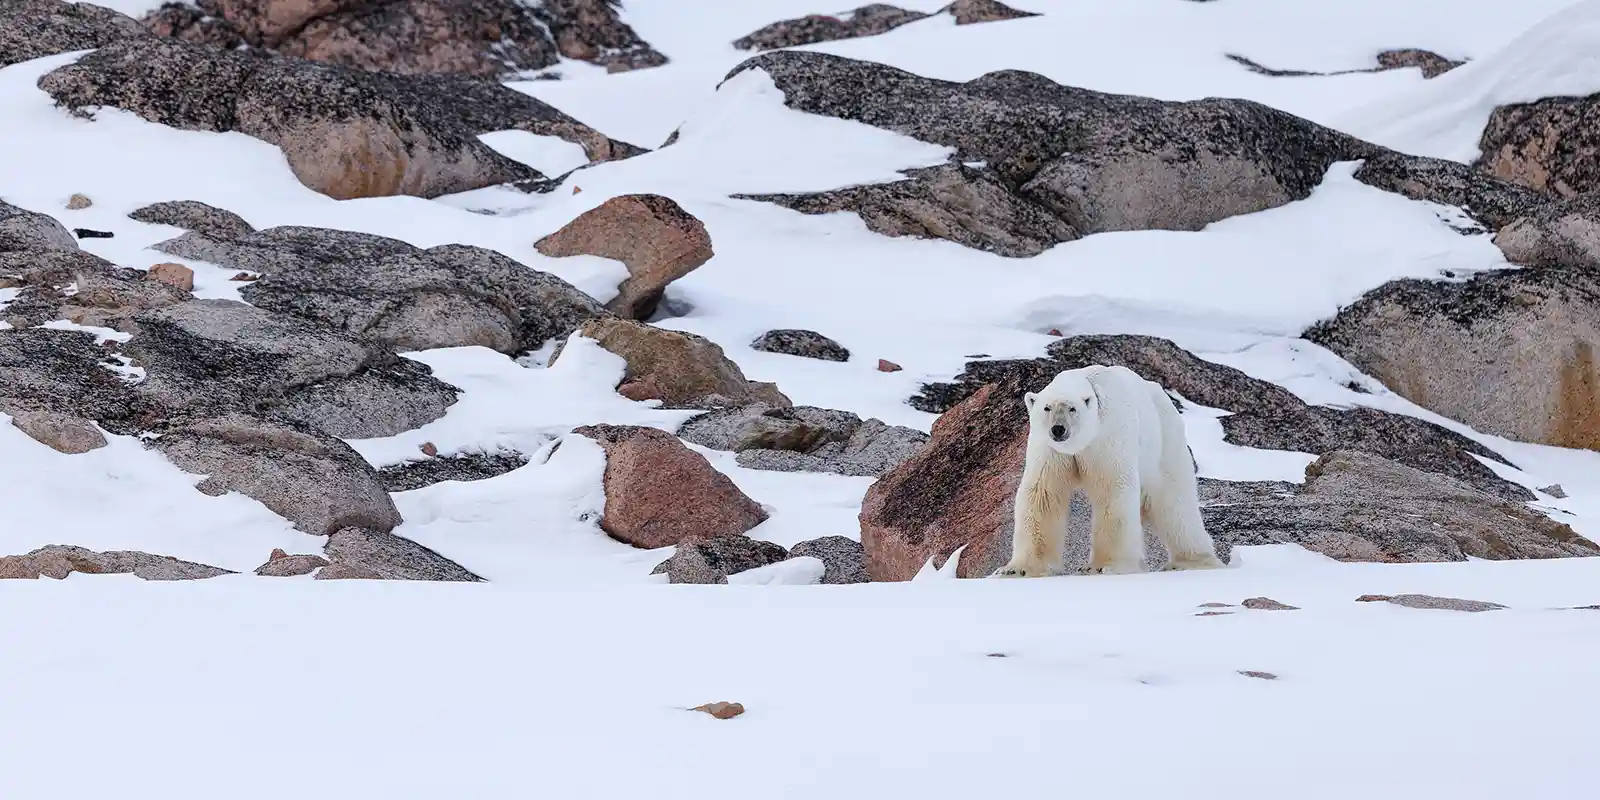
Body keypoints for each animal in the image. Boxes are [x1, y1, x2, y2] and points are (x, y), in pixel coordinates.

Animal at [992, 364, 1224, 577]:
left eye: (1072, 409)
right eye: (1046, 408)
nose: (1058, 429)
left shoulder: (1108, 436)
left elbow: (1112, 489)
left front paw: (1103, 567)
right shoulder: (1050, 450)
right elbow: (1043, 494)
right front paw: (1015, 570)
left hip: (1164, 443)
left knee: (1173, 502)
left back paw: (1191, 562)